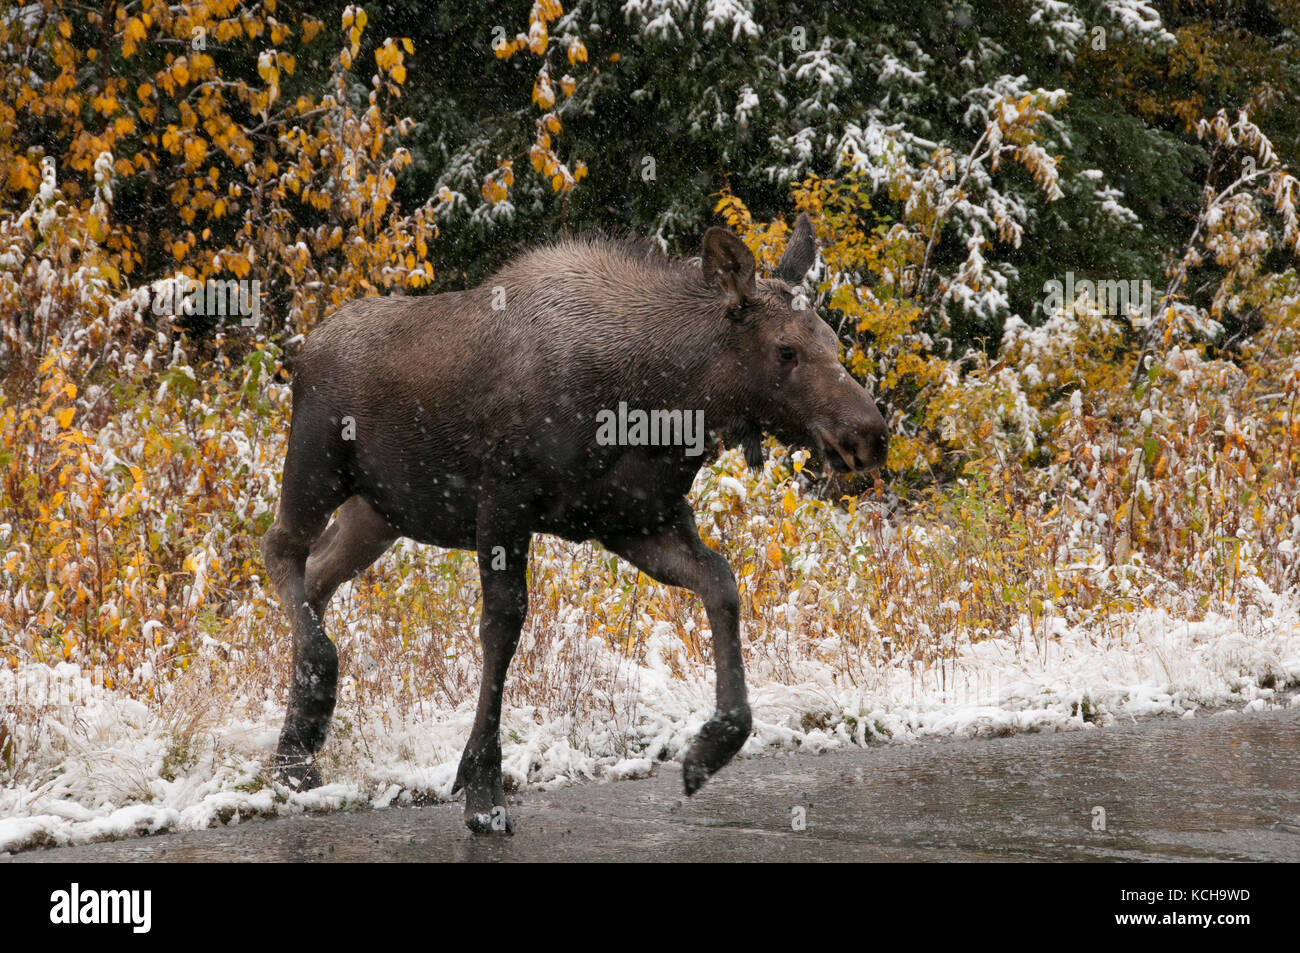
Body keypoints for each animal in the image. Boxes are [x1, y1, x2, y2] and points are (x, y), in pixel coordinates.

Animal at [263, 215, 894, 832]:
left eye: (833, 341)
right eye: (786, 350)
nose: (869, 434)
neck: (660, 401)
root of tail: (308, 345)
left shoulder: (634, 519)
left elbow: (721, 581)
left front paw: (710, 748)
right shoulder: (505, 499)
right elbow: (503, 625)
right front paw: (483, 789)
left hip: (380, 512)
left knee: (317, 575)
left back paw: (294, 754)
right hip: (316, 465)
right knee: (280, 548)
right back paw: (312, 709)